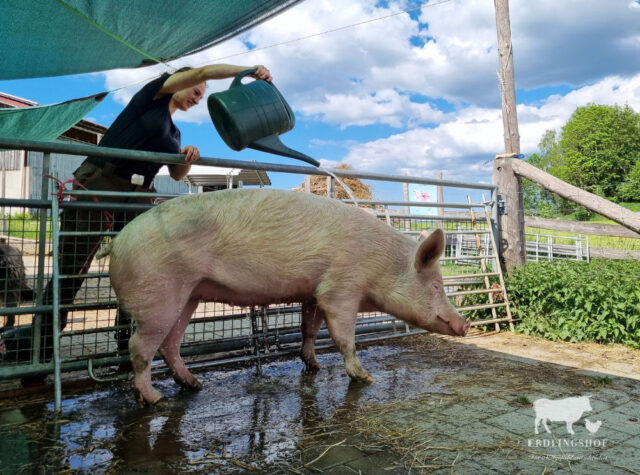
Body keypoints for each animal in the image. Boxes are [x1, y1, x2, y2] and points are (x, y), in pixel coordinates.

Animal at [99, 188, 470, 408]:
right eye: (436, 286)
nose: (465, 325)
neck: (381, 264)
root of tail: (116, 243)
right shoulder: (340, 288)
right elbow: (344, 337)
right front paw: (365, 377)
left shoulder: (314, 293)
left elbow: (309, 329)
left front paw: (313, 365)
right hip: (159, 294)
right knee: (140, 347)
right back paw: (156, 399)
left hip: (189, 294)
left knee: (170, 344)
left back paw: (195, 385)